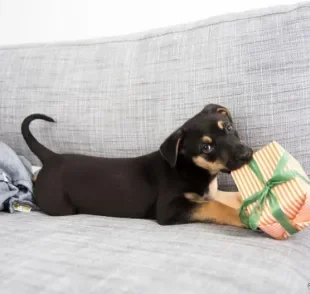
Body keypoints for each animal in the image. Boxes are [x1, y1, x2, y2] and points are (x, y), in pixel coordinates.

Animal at [23, 105, 253, 227]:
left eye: (229, 128)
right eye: (206, 147)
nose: (247, 155)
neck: (191, 169)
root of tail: (52, 158)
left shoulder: (210, 193)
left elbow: (230, 197)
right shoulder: (169, 208)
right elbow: (215, 206)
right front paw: (244, 217)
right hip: (61, 206)